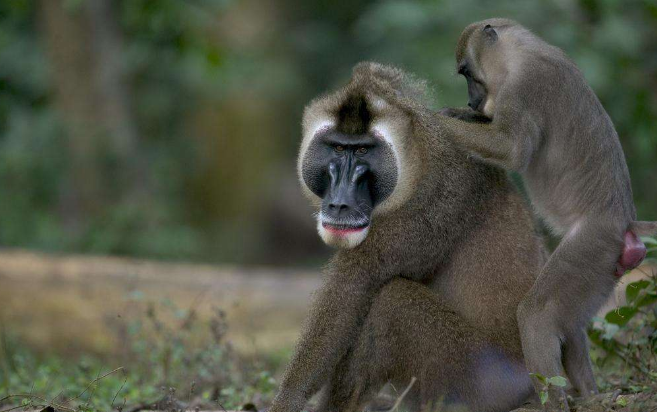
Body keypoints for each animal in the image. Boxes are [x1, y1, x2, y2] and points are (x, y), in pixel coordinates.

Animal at [268, 62, 548, 412]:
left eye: (363, 150)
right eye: (338, 148)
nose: (340, 203)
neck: (417, 155)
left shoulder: (434, 201)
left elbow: (353, 288)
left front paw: (288, 399)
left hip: (481, 379)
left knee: (392, 300)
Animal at [436, 17, 656, 410]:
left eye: (468, 74)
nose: (472, 99)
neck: (523, 50)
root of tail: (624, 222)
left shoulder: (526, 86)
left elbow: (511, 149)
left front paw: (429, 119)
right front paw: (458, 114)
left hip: (591, 247)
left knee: (537, 315)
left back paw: (553, 399)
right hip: (602, 267)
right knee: (570, 323)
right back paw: (590, 394)